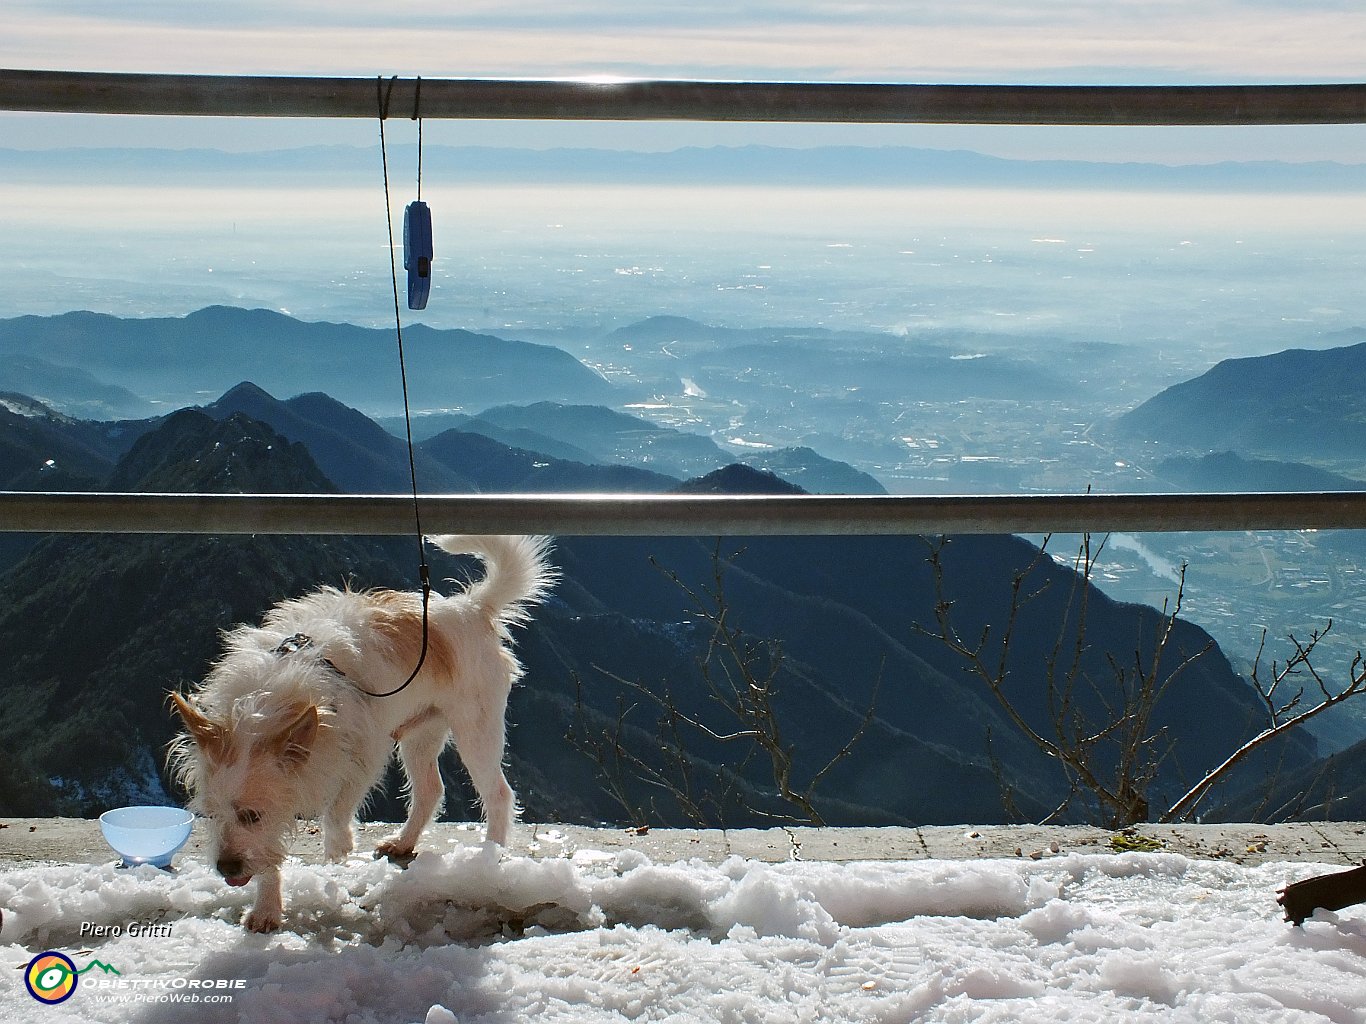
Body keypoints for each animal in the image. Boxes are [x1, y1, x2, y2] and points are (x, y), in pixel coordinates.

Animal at [169, 540, 554, 933]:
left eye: (252, 816)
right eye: (209, 814)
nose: (225, 868)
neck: (271, 696)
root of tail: (471, 607)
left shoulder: (368, 750)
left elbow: (340, 804)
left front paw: (338, 844)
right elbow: (268, 856)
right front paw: (266, 908)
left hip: (476, 732)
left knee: (498, 795)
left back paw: (490, 860)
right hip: (421, 736)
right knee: (431, 790)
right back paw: (404, 842)